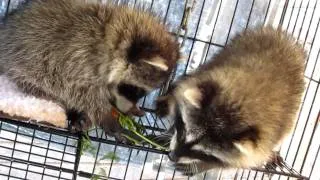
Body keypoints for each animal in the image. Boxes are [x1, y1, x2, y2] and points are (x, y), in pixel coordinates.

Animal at [0, 0, 180, 136]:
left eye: (140, 92)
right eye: (134, 89)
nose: (127, 109)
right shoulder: (76, 57)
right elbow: (78, 90)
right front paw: (104, 115)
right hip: (23, 64)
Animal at [157, 26, 304, 174]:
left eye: (202, 152)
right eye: (184, 131)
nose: (172, 156)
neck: (241, 100)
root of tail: (283, 37)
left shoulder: (262, 144)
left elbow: (233, 162)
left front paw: (201, 166)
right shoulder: (209, 74)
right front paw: (171, 131)